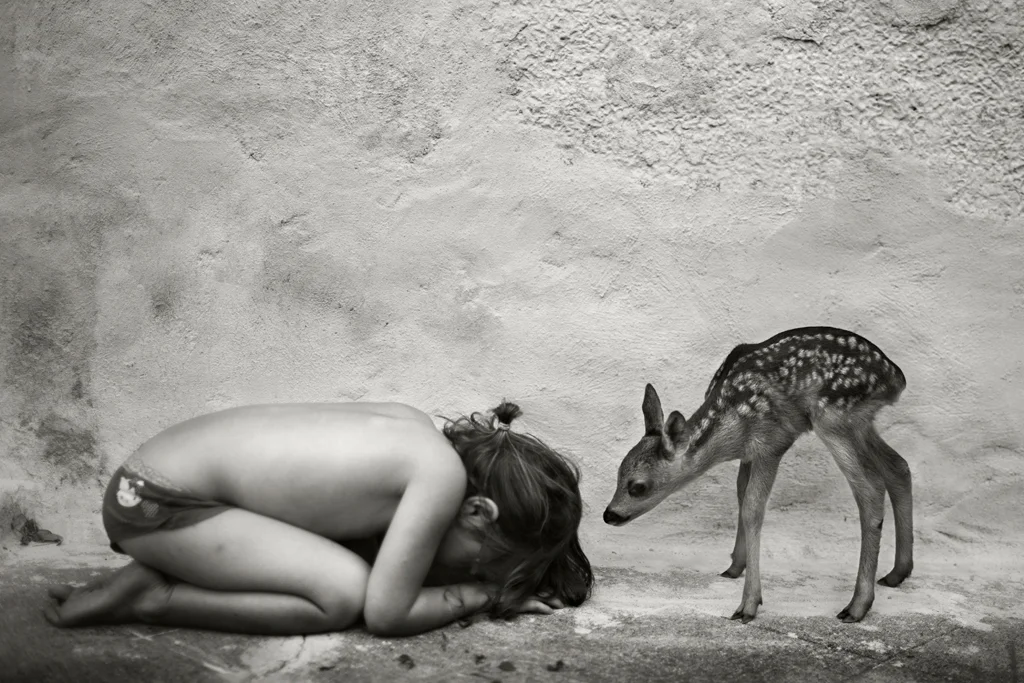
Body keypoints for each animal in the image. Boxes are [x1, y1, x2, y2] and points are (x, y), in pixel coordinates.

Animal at [603, 326, 913, 624]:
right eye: (618, 473)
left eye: (638, 486)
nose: (609, 514)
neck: (730, 428)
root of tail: (896, 378)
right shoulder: (748, 454)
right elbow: (741, 496)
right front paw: (734, 567)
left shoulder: (772, 442)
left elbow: (753, 508)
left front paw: (748, 605)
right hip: (860, 423)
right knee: (899, 466)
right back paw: (897, 573)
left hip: (835, 417)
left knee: (870, 489)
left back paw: (857, 606)